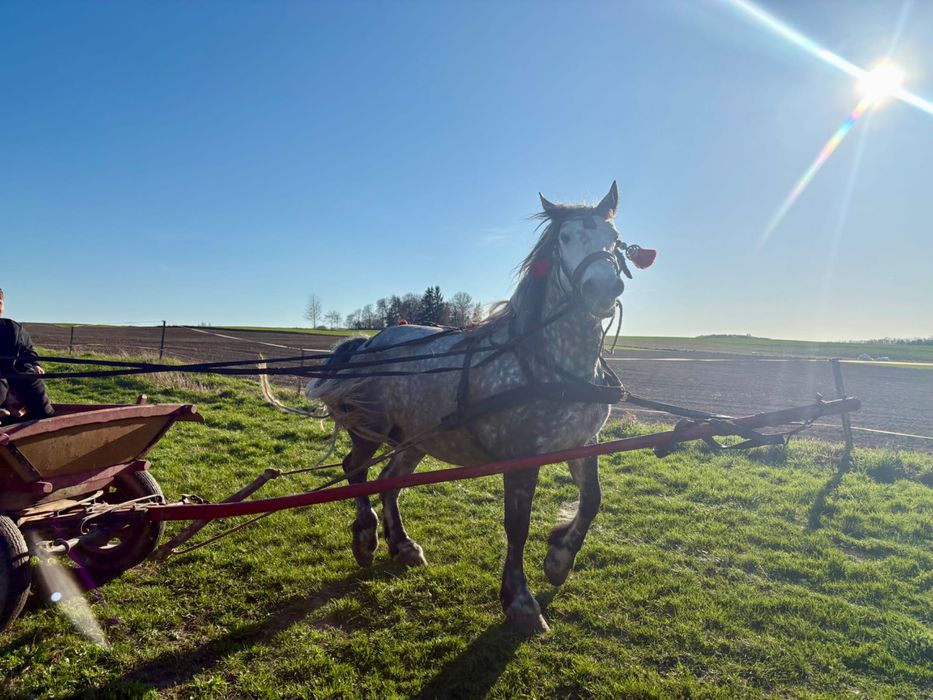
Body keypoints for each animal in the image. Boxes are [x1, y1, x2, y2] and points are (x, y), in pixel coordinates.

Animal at [308, 182, 650, 633]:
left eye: (614, 239)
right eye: (565, 238)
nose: (602, 288)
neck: (549, 360)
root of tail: (370, 341)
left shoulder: (583, 441)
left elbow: (592, 500)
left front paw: (558, 559)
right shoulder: (521, 456)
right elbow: (517, 525)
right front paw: (520, 600)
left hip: (416, 438)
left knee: (389, 481)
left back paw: (403, 545)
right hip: (369, 428)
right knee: (356, 470)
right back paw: (366, 538)